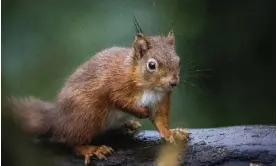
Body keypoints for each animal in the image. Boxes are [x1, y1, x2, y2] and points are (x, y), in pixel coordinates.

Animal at [8, 29, 190, 165]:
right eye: (152, 65)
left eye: (178, 61)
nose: (173, 82)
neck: (148, 86)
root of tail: (57, 119)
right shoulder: (114, 84)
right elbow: (117, 100)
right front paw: (141, 112)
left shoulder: (161, 99)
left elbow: (160, 120)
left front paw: (171, 133)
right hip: (88, 114)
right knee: (70, 142)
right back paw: (91, 149)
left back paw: (126, 126)